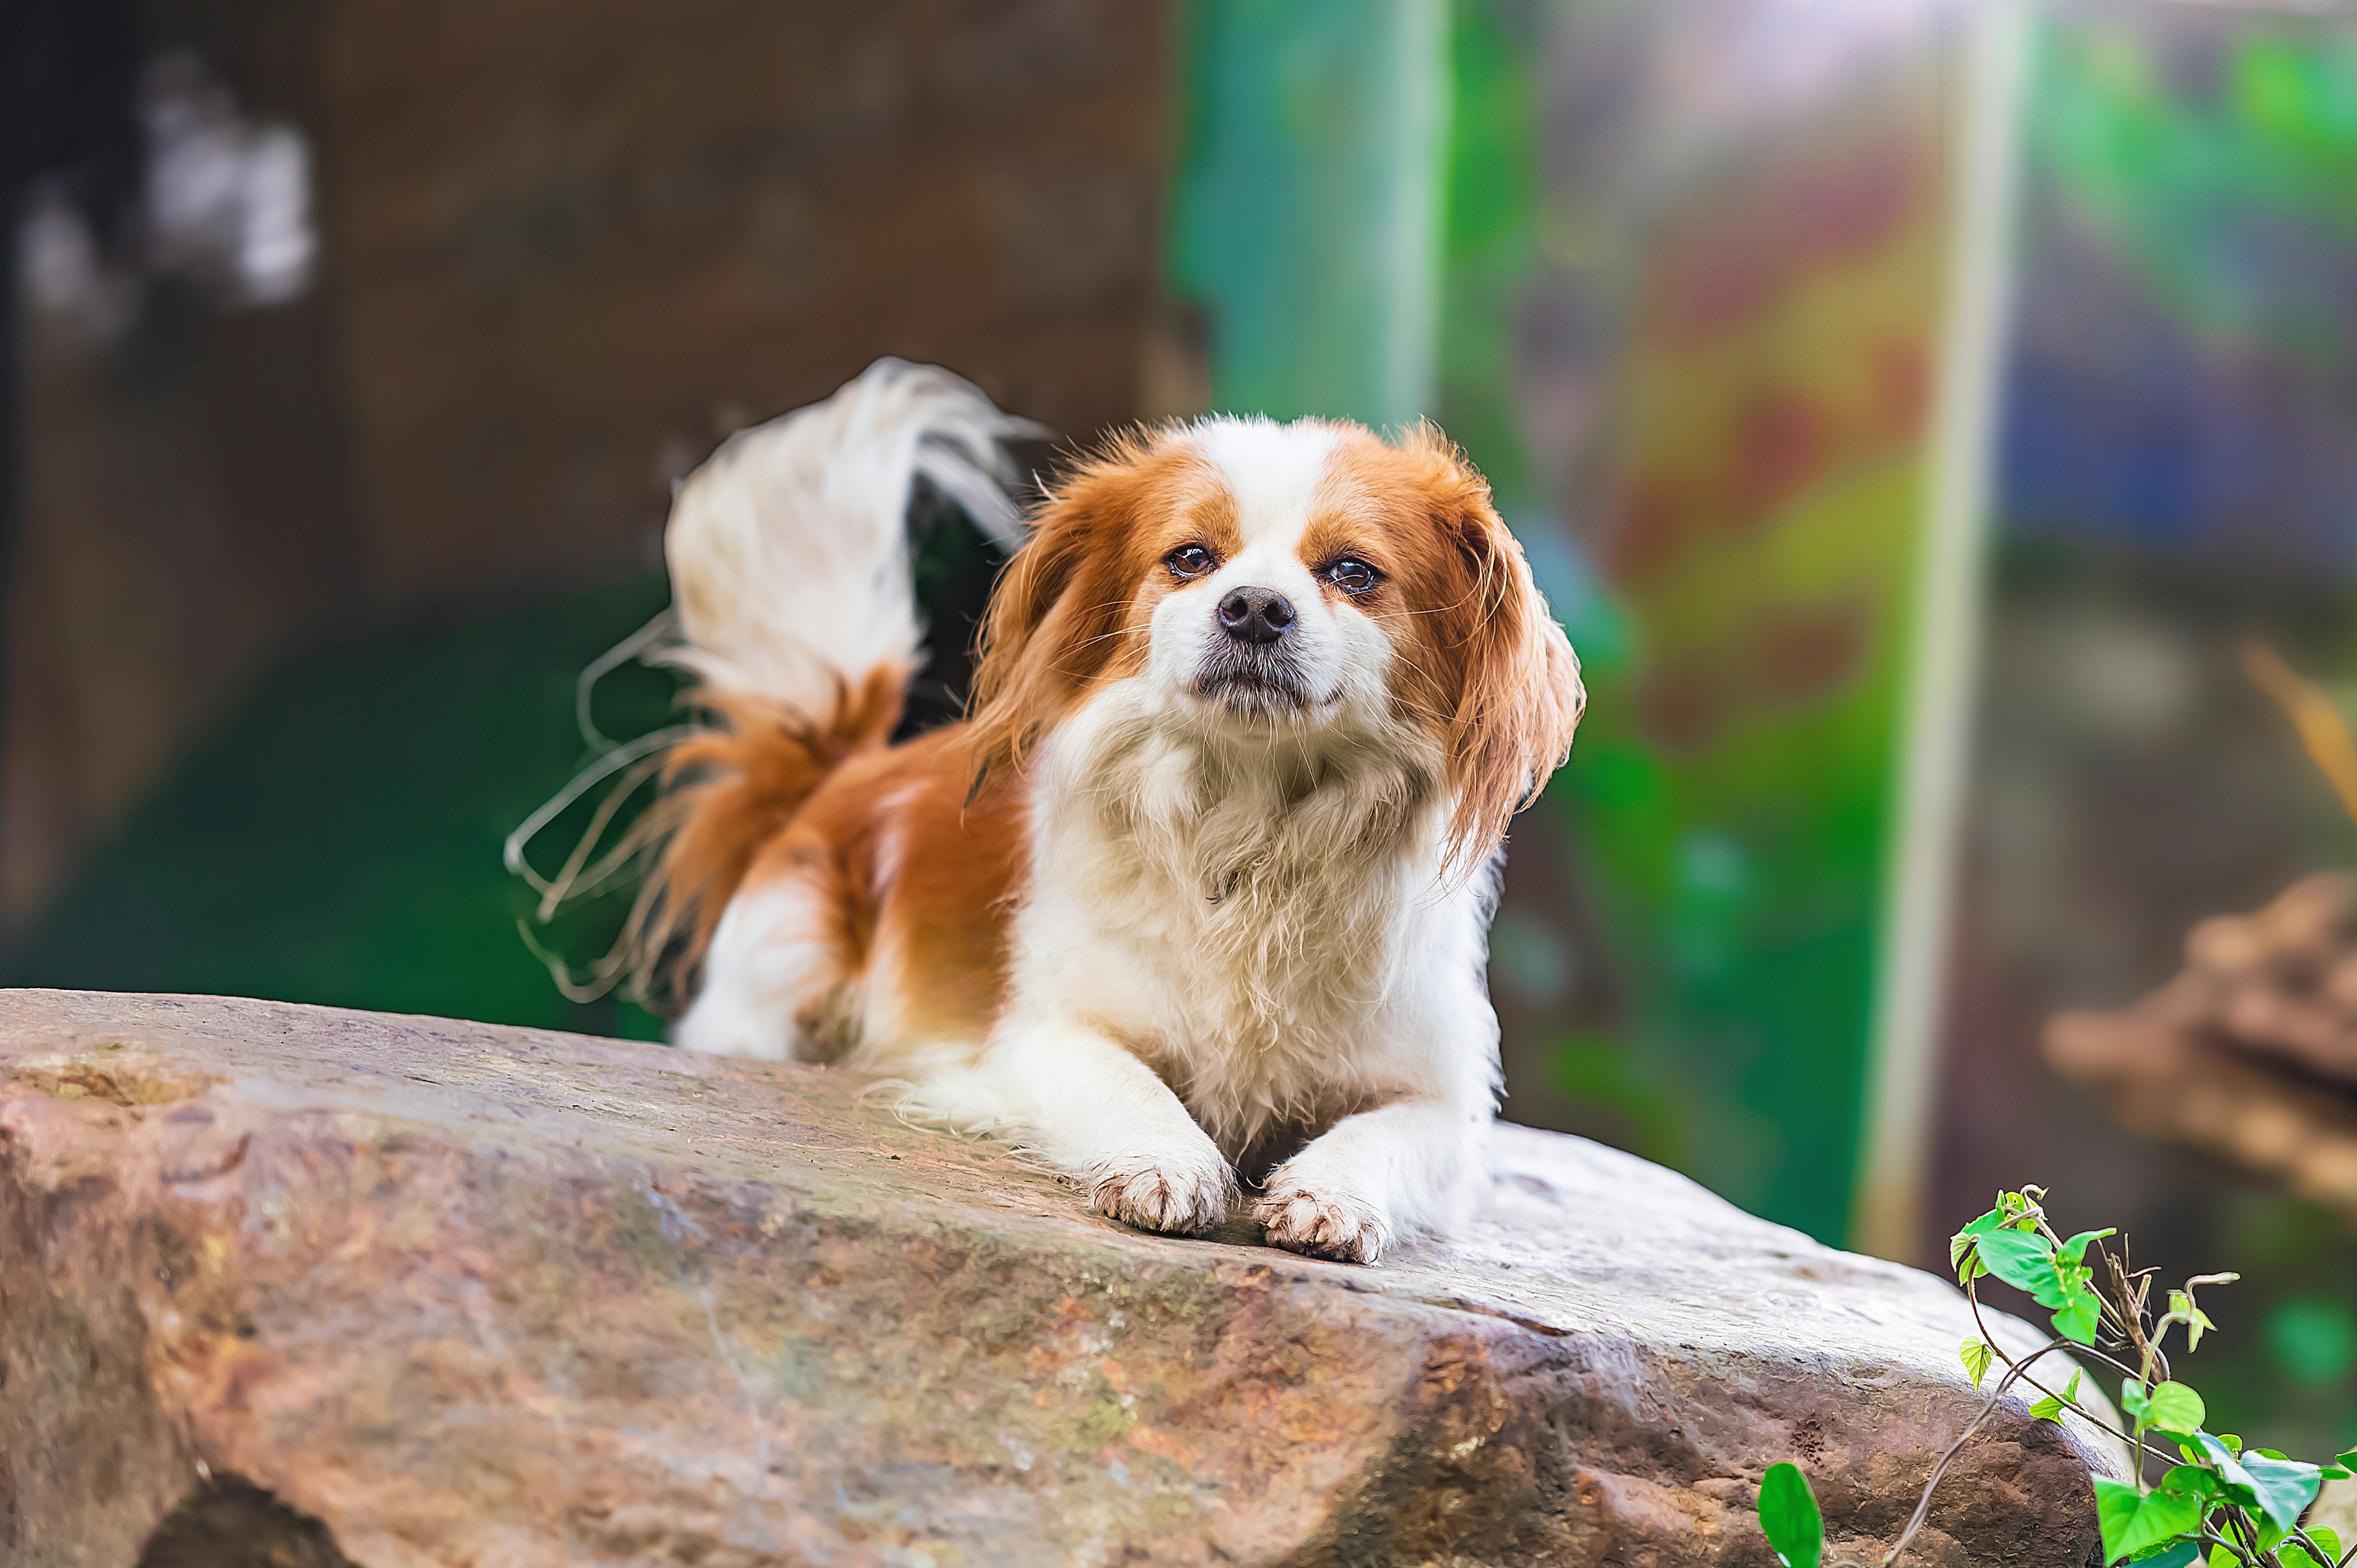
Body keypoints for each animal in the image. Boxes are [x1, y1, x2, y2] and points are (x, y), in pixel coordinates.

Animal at [646, 358, 1584, 1264]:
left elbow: (1382, 1135)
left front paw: (1331, 1195)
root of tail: (848, 767)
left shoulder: (1445, 1103)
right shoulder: (1041, 1035)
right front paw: (1167, 1161)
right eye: (1192, 558)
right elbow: (1126, 1079)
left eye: (1353, 571)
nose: (1254, 605)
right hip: (776, 977)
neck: (1252, 818)